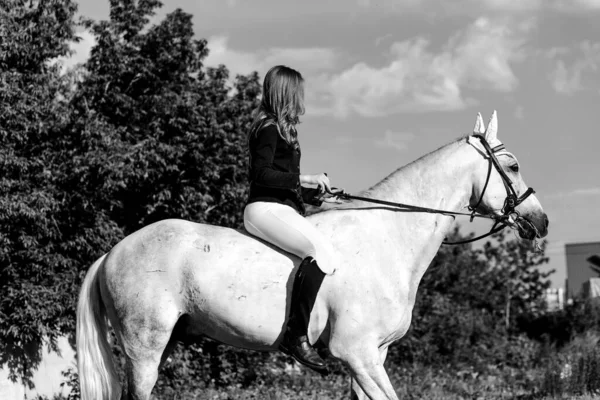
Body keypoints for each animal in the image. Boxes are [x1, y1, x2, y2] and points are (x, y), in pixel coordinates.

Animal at [75, 111, 548, 398]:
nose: (541, 223)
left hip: (165, 340)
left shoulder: (374, 355)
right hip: (144, 346)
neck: (388, 237)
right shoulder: (356, 353)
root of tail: (113, 252)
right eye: (513, 165)